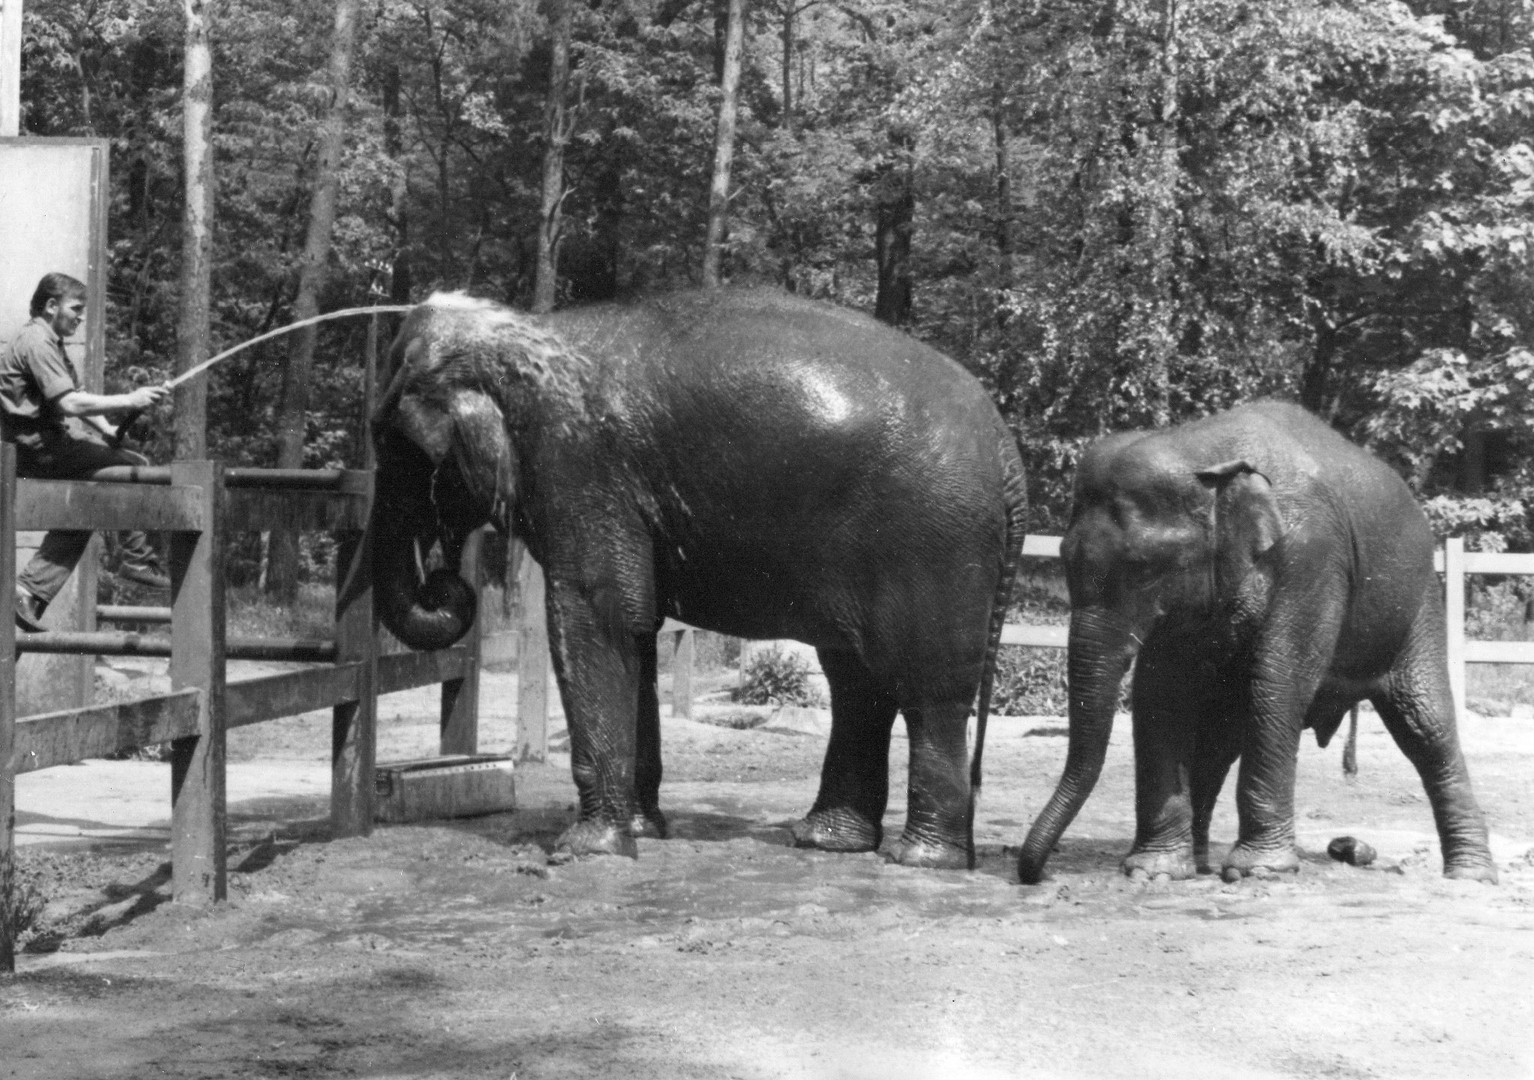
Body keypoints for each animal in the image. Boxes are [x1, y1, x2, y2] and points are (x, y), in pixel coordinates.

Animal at [365, 285, 1024, 871]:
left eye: (398, 448)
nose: (446, 582)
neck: (523, 330)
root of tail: (1006, 448)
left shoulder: (579, 465)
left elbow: (596, 615)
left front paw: (585, 851)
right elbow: (635, 631)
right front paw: (639, 832)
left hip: (934, 544)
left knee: (926, 690)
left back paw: (921, 859)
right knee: (858, 682)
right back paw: (825, 841)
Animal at [1018, 401, 1497, 883]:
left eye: (1144, 567)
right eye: (1063, 559)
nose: (1036, 874)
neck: (1202, 448)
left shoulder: (1311, 558)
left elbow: (1276, 683)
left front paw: (1258, 872)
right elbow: (1160, 694)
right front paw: (1154, 873)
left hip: (1419, 605)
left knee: (1426, 727)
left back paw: (1470, 876)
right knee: (1218, 742)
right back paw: (1201, 863)